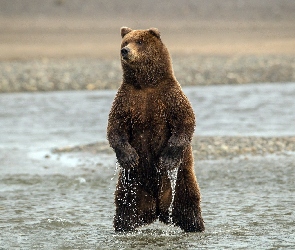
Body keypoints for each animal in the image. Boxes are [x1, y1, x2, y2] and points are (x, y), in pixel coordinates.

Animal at [107, 27, 206, 232]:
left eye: (139, 42)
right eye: (125, 42)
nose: (125, 51)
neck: (145, 85)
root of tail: (157, 209)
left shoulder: (169, 97)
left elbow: (185, 122)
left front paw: (167, 160)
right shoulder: (126, 101)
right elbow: (115, 128)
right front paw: (129, 157)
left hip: (182, 180)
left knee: (189, 204)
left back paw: (195, 226)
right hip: (130, 186)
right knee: (124, 208)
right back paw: (123, 228)